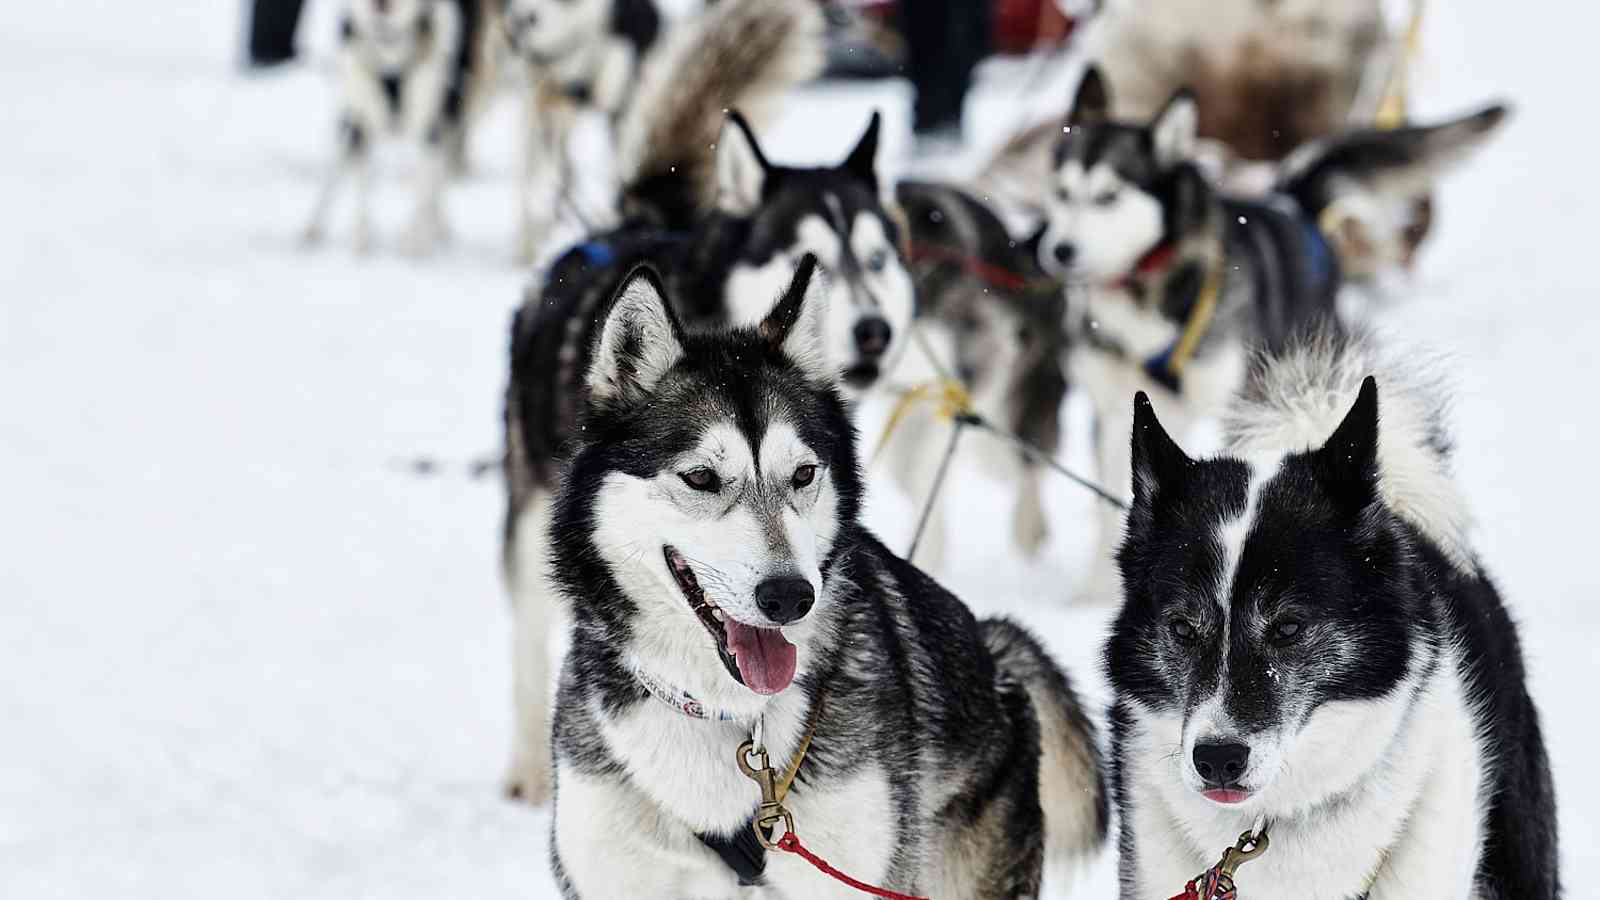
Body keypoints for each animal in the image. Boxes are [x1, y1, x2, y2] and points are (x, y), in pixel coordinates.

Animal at [302, 0, 483, 254]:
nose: (381, 3)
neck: (388, 42)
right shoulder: (360, 122)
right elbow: (362, 188)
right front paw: (362, 242)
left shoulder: (430, 124)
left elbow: (423, 189)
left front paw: (415, 243)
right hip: (349, 116)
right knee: (335, 170)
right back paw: (313, 225)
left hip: (451, 108)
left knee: (435, 178)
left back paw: (436, 227)